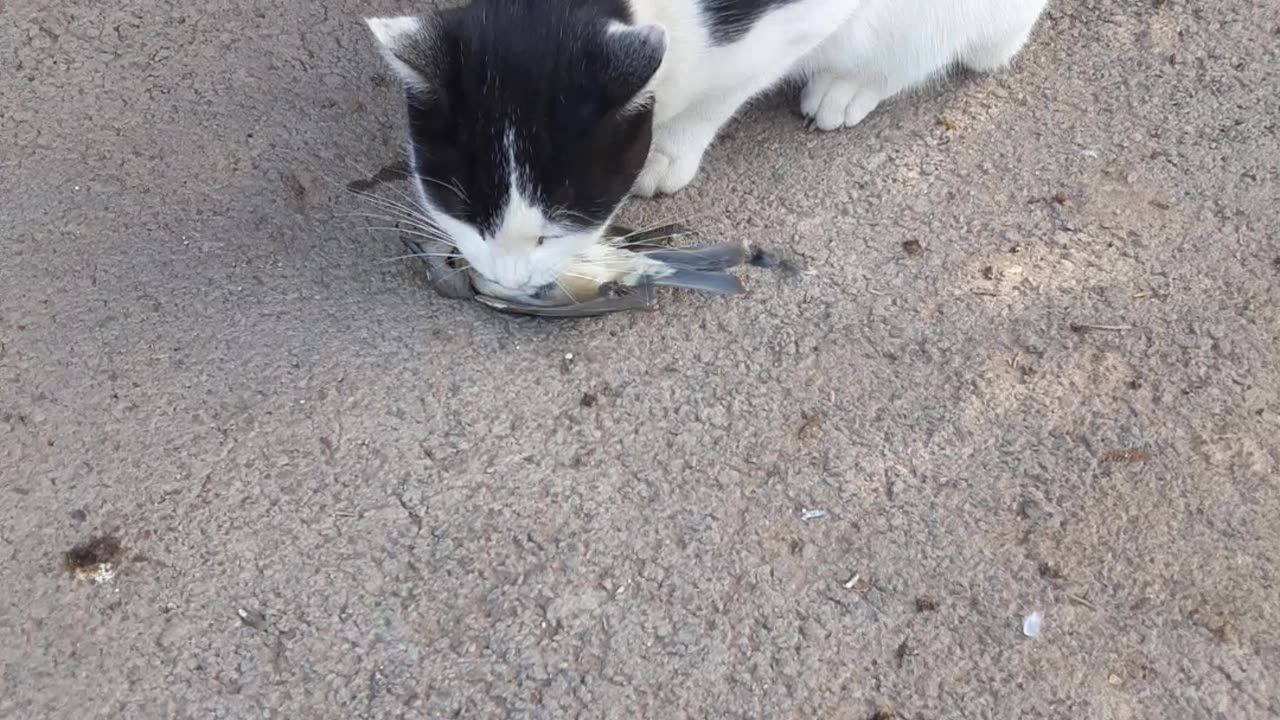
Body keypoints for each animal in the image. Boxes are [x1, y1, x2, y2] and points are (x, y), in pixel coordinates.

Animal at [368, 0, 1049, 297]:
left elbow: (724, 88)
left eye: (553, 231)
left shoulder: (799, 21)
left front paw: (672, 149)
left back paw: (851, 86)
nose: (505, 280)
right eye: (464, 212)